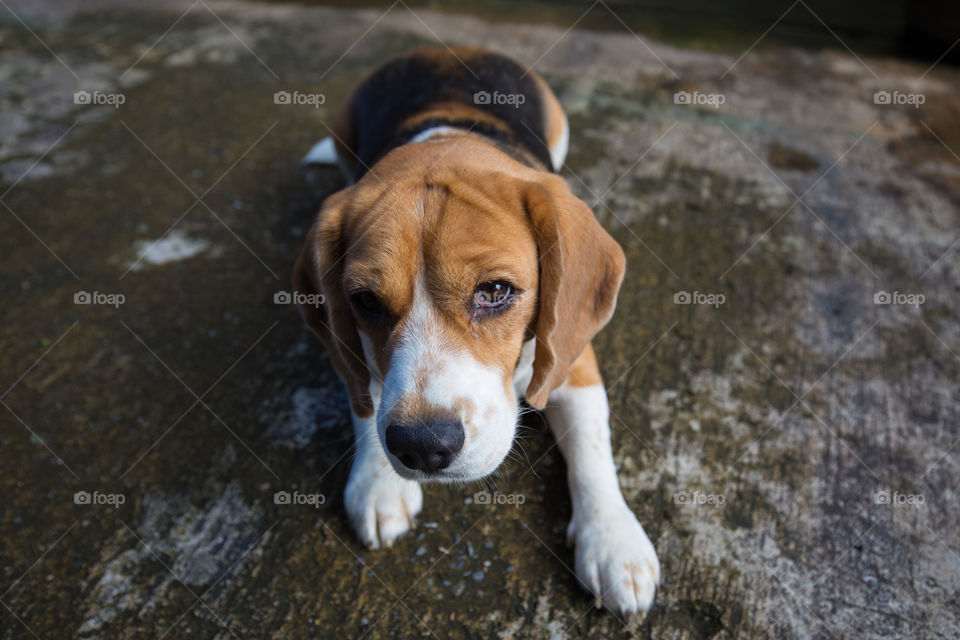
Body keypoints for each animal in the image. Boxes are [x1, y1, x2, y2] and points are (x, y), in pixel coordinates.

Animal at [292, 46, 660, 616]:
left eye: (496, 291)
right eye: (365, 302)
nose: (422, 447)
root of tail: (440, 50)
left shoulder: (573, 360)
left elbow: (592, 446)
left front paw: (613, 541)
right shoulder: (350, 347)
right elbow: (366, 401)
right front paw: (376, 484)